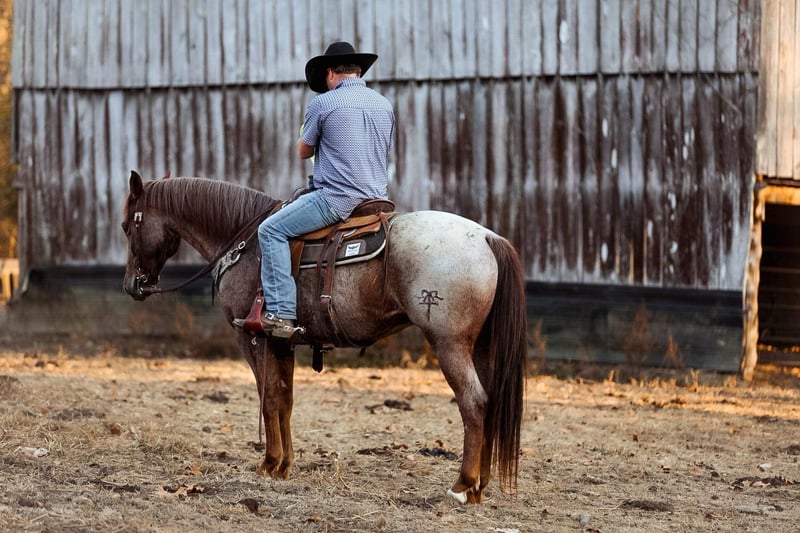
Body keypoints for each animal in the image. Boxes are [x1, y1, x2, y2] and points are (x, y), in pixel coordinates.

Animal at [121, 170, 527, 504]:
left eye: (127, 226)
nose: (132, 286)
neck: (244, 243)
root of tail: (488, 237)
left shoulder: (253, 340)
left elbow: (269, 397)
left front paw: (269, 464)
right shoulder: (282, 341)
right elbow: (284, 399)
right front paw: (283, 466)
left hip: (449, 345)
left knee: (473, 402)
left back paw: (462, 485)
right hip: (482, 348)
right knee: (490, 401)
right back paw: (481, 485)